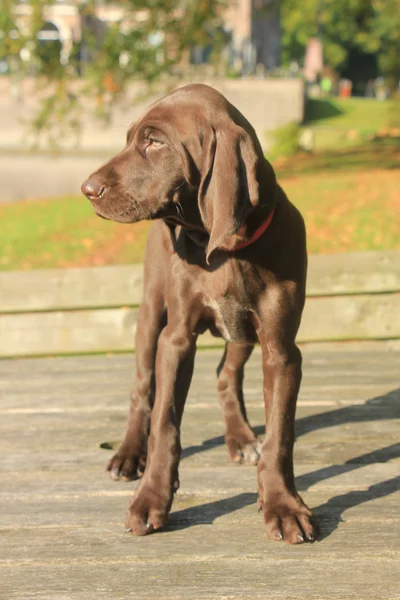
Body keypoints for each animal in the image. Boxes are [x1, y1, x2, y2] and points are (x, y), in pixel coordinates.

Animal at [82, 84, 316, 544]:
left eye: (154, 142)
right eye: (130, 138)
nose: (86, 188)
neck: (224, 249)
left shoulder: (281, 350)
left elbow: (280, 433)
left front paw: (282, 503)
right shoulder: (176, 339)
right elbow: (164, 423)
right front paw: (150, 497)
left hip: (243, 333)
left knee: (227, 375)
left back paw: (241, 438)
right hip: (150, 316)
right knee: (142, 389)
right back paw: (128, 453)